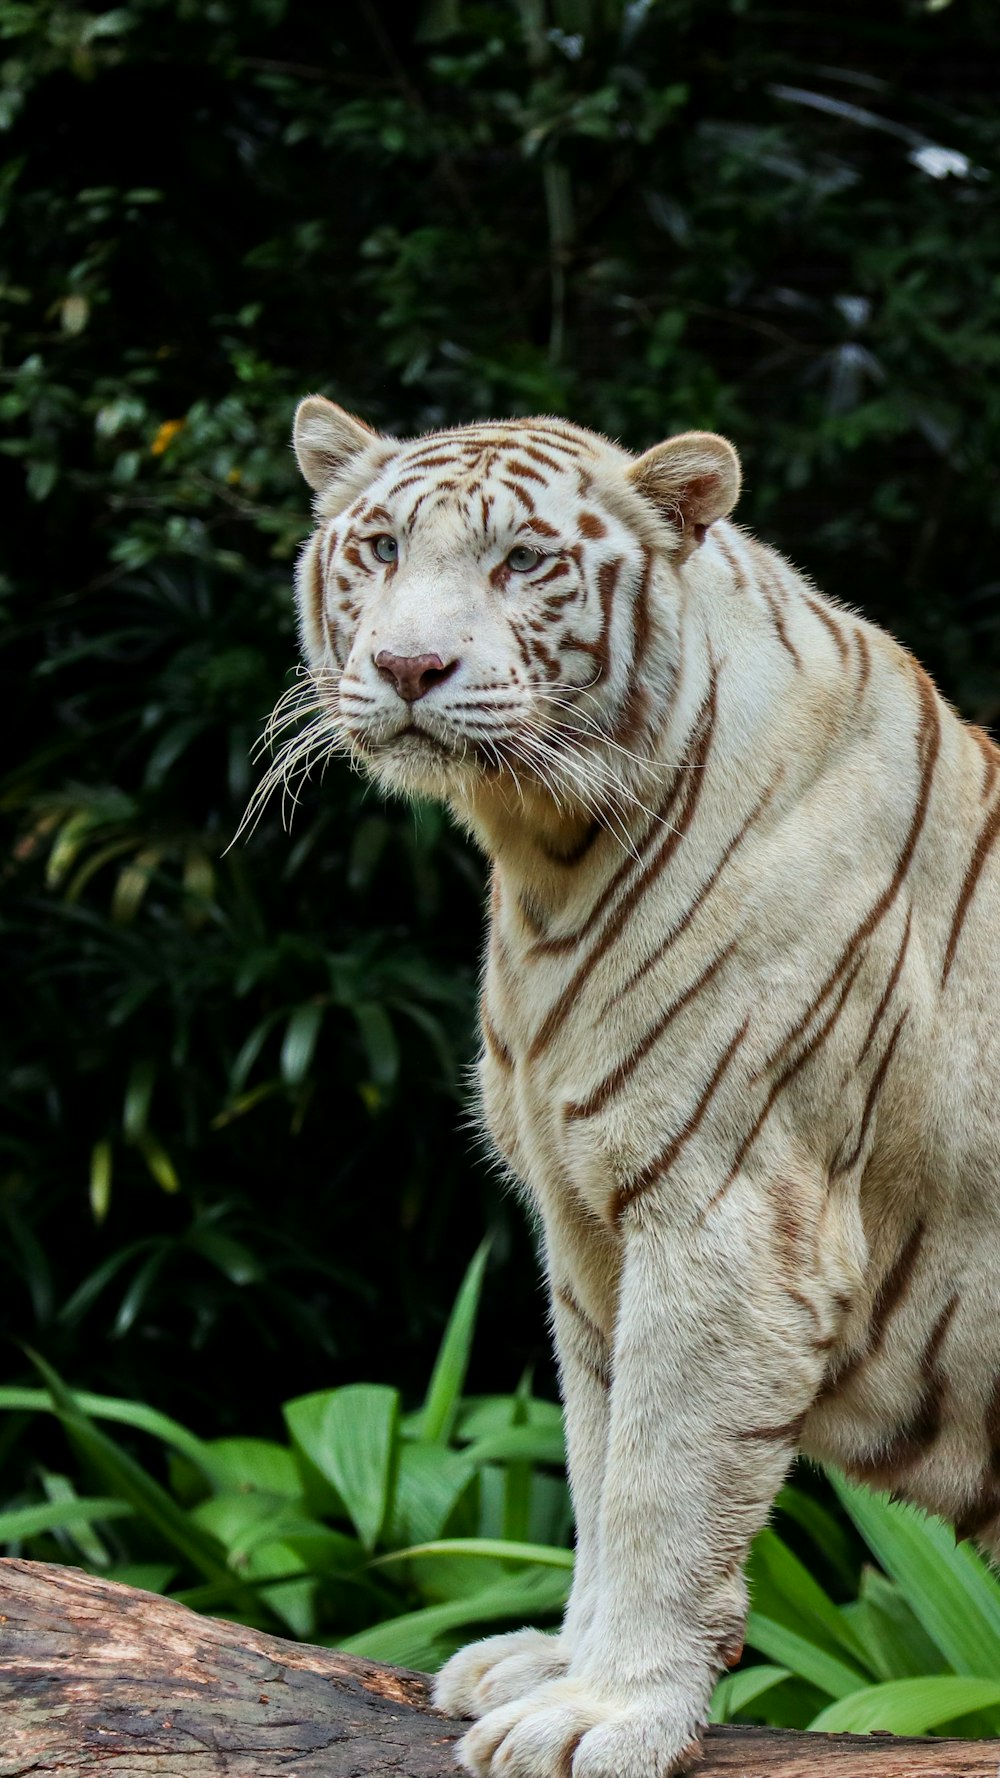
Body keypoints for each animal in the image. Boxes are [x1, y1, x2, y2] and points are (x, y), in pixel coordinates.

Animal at [281, 400, 996, 1778]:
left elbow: (663, 1481)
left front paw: (606, 1710)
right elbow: (597, 1453)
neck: (544, 857)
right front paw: (555, 1662)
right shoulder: (586, 1228)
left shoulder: (725, 1219)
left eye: (520, 562)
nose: (407, 666)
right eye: (383, 546)